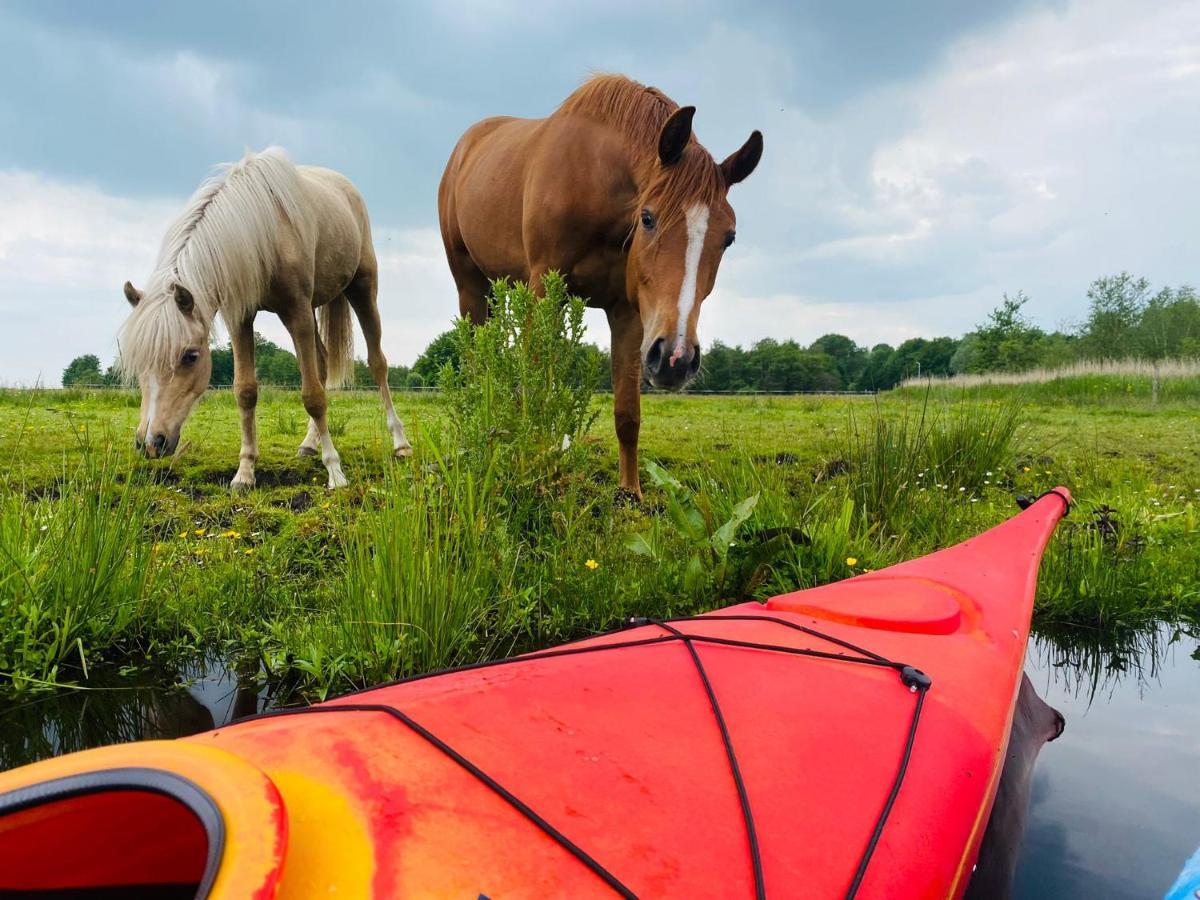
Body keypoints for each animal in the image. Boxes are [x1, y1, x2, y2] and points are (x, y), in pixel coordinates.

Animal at [118, 148, 412, 489]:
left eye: (190, 356)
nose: (150, 443)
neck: (262, 232)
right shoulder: (241, 317)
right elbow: (245, 392)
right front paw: (245, 472)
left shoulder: (296, 311)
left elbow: (313, 395)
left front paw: (335, 471)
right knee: (323, 362)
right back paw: (309, 444)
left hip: (362, 288)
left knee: (377, 363)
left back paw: (400, 443)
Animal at [439, 75, 758, 501]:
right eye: (648, 218)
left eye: (729, 237)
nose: (676, 358)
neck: (597, 184)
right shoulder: (544, 292)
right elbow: (539, 392)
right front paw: (536, 476)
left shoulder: (629, 313)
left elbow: (627, 412)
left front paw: (630, 492)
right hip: (470, 286)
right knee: (478, 365)